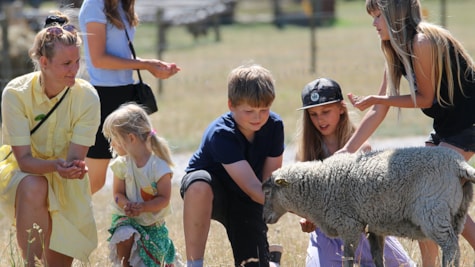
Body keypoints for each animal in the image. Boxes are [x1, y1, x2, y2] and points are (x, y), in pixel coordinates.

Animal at [262, 147, 475, 267]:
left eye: (267, 192)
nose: (264, 218)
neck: (320, 186)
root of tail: (459, 164)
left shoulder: (349, 225)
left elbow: (347, 258)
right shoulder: (375, 227)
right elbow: (377, 257)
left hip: (432, 212)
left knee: (450, 246)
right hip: (458, 212)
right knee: (454, 247)